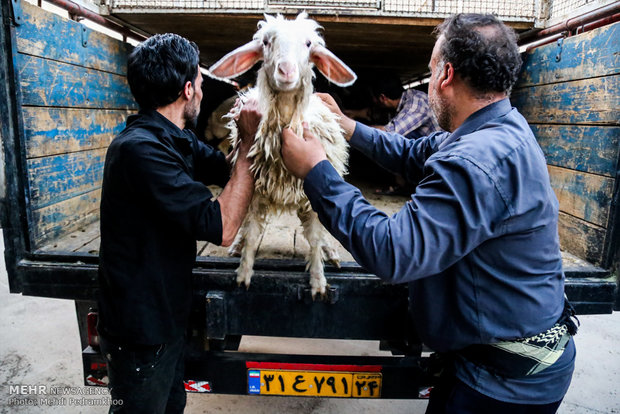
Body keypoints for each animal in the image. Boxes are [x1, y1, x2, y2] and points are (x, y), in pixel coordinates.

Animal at [208, 12, 356, 298]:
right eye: (266, 42)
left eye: (309, 44)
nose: (286, 71)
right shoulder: (255, 191)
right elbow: (253, 233)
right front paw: (243, 273)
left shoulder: (313, 195)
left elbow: (314, 238)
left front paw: (318, 280)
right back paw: (236, 244)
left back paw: (330, 251)